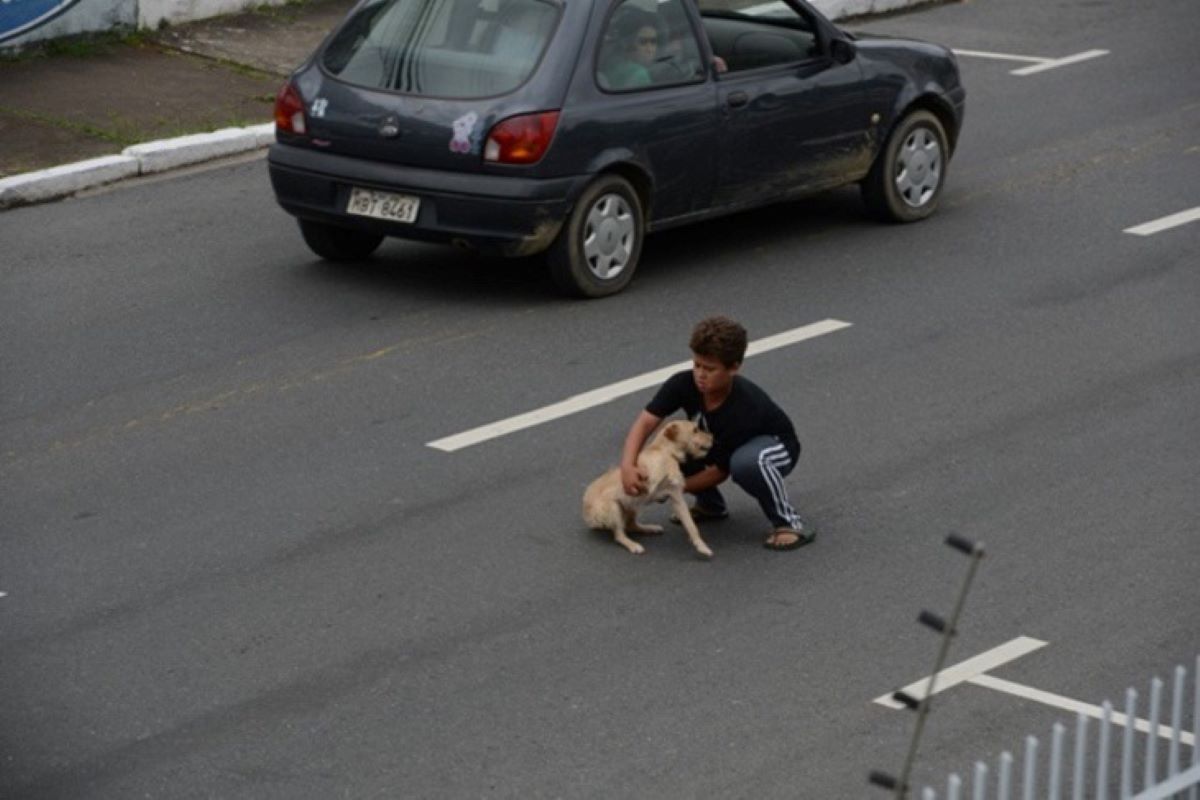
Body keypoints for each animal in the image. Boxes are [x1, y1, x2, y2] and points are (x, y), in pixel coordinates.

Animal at [580, 419, 710, 556]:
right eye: (695, 430)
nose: (712, 437)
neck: (665, 451)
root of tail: (586, 513)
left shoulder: (676, 497)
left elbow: (691, 525)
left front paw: (701, 546)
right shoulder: (650, 479)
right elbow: (652, 483)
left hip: (631, 507)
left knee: (631, 526)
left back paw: (650, 528)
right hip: (613, 508)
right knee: (619, 535)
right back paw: (633, 545)